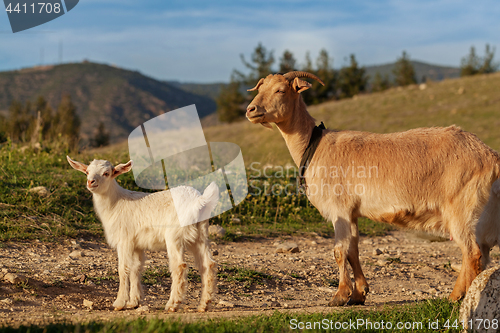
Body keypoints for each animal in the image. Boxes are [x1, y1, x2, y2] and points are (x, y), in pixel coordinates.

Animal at [246, 71, 500, 304]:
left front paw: (339, 296)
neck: (315, 146)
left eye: (280, 90)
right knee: (480, 253)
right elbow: (352, 251)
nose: (250, 110)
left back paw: (459, 298)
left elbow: (339, 251)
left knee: (472, 253)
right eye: (260, 88)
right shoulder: (351, 212)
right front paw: (359, 294)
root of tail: (490, 155)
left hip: (461, 206)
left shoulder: (338, 208)